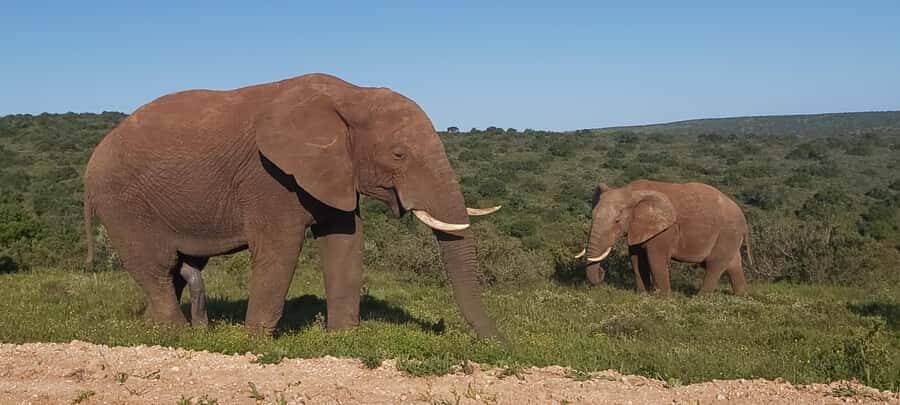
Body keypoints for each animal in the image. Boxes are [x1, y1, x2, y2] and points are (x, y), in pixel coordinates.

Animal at [83, 73, 502, 338]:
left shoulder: (333, 172)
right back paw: (177, 334)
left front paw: (343, 339)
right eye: (399, 154)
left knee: (176, 270)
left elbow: (345, 242)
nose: (498, 344)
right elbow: (281, 247)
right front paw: (253, 341)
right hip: (121, 201)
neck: (352, 94)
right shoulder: (268, 175)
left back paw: (157, 327)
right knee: (156, 266)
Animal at [574, 180, 751, 295]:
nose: (602, 272)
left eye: (617, 221)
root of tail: (743, 218)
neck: (632, 192)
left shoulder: (665, 230)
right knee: (733, 264)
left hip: (727, 233)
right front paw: (643, 295)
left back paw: (699, 298)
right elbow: (636, 259)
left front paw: (663, 298)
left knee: (715, 265)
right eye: (592, 216)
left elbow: (655, 259)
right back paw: (741, 296)